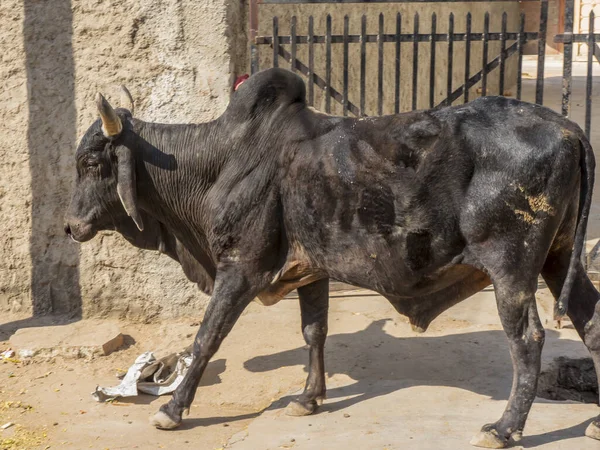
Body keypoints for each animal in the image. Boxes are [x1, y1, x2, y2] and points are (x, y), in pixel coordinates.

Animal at [64, 67, 600, 446]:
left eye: (91, 162)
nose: (71, 226)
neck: (219, 160)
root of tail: (569, 129)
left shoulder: (241, 268)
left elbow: (206, 338)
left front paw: (173, 410)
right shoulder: (312, 270)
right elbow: (314, 332)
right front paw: (308, 398)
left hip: (512, 268)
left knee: (528, 339)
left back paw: (505, 429)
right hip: (559, 258)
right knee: (590, 319)